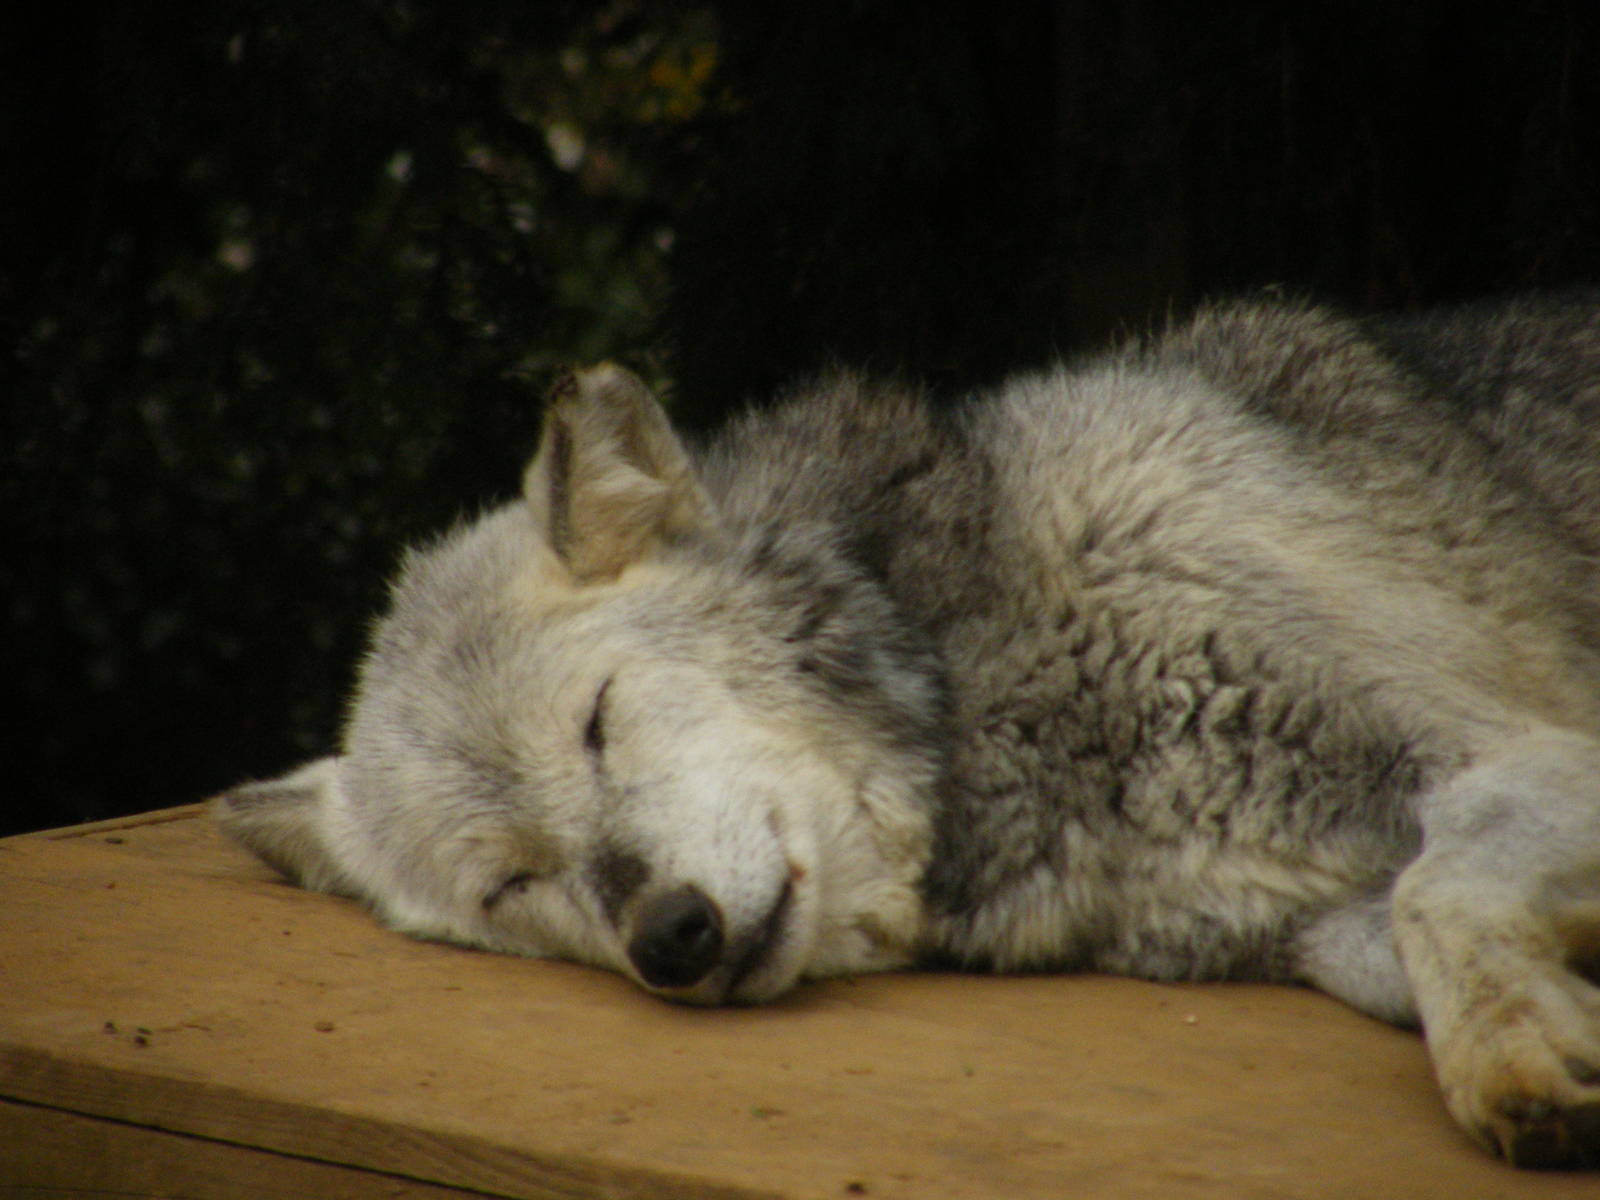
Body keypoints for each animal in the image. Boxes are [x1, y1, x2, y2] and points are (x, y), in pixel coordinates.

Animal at [214, 294, 1600, 1168]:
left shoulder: (1521, 754)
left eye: (598, 723)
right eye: (510, 886)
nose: (669, 937)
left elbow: (1436, 895)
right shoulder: (1299, 922)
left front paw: (1516, 1071)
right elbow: (1415, 934)